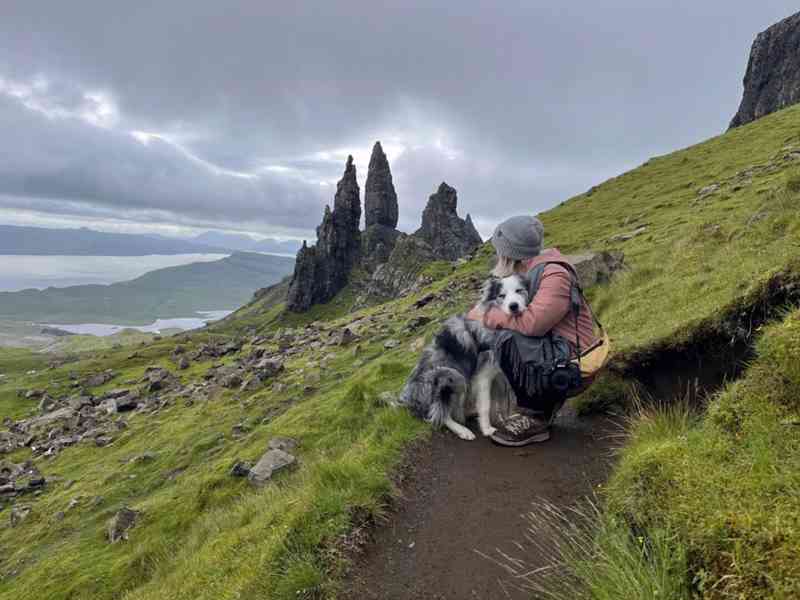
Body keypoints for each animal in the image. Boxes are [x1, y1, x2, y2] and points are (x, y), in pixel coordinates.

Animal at [396, 274, 532, 438]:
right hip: (450, 374)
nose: (513, 306)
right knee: (439, 414)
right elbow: (486, 404)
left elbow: (502, 401)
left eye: (519, 290)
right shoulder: (483, 375)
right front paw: (487, 429)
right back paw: (462, 430)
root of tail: (410, 401)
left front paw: (509, 421)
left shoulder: (499, 374)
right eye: (501, 296)